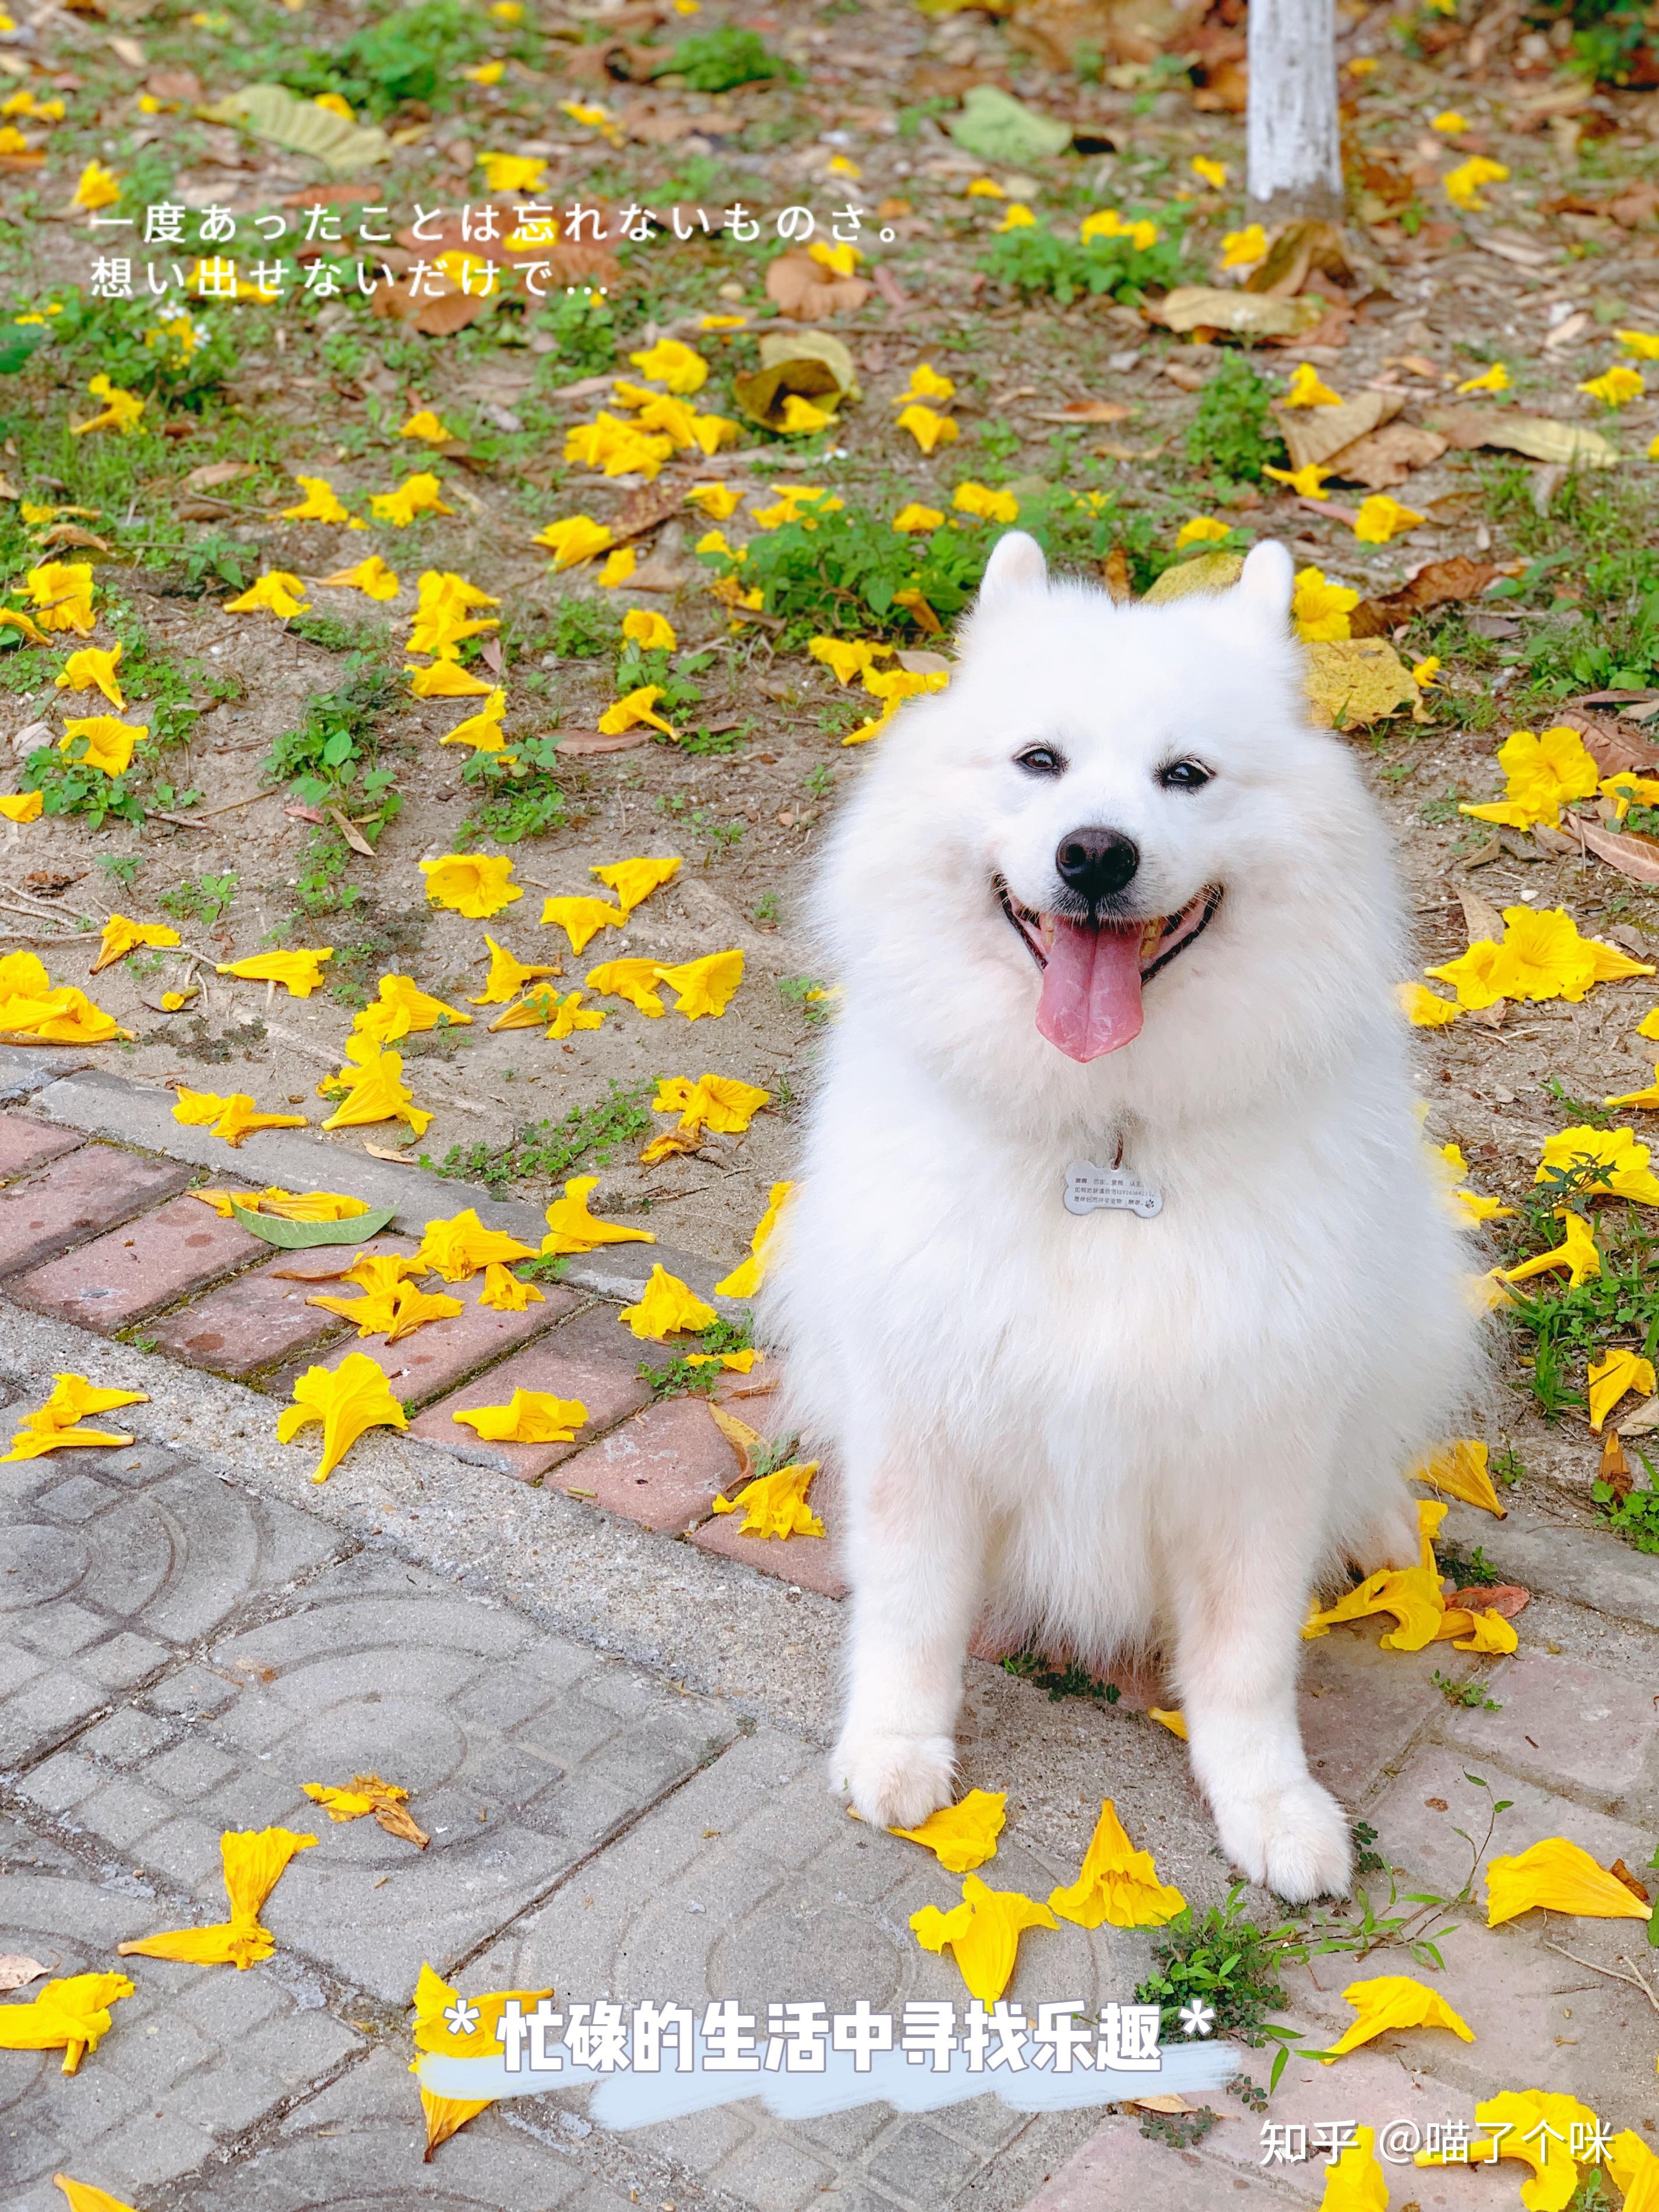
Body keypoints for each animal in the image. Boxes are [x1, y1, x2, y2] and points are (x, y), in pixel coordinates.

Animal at [760, 531, 1486, 1902]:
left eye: (1184, 775)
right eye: (1039, 761)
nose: (1094, 852)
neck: (1107, 1134)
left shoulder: (1255, 1441)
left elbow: (1248, 1663)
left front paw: (1269, 1803)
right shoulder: (922, 1418)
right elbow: (911, 1609)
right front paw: (894, 1746)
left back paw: (1373, 1521)